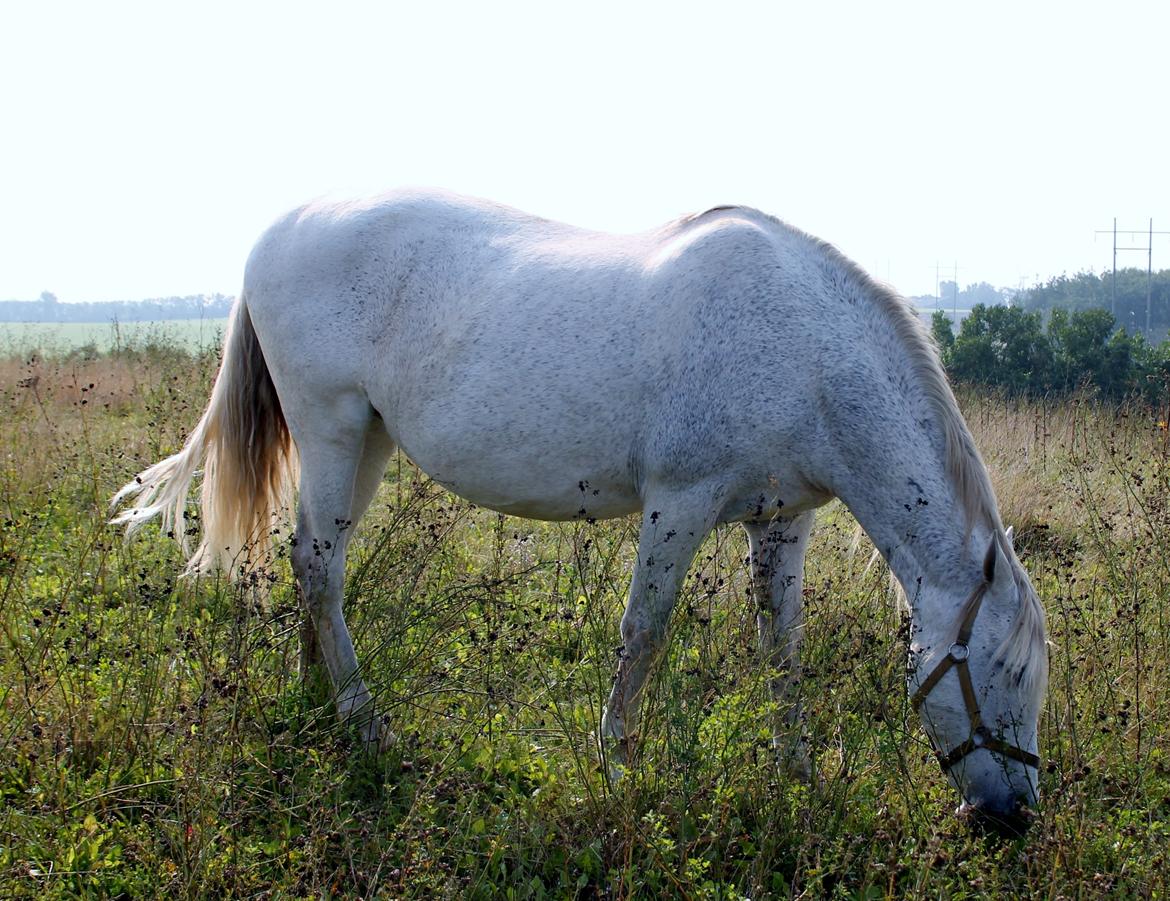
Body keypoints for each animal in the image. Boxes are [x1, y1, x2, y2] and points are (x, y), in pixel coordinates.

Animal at [114, 189, 1053, 833]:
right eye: (1003, 672)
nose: (1013, 819)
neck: (805, 348)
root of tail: (282, 228)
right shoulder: (678, 501)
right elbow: (645, 631)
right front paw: (617, 767)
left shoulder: (783, 520)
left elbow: (781, 648)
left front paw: (798, 770)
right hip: (331, 424)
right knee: (316, 565)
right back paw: (367, 725)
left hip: (364, 441)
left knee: (319, 562)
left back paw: (322, 703)